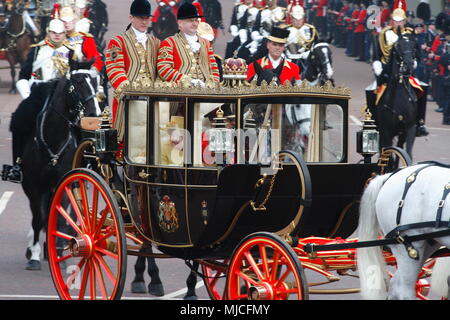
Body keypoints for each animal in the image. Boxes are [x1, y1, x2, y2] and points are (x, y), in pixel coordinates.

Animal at [13, 55, 100, 270]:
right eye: (78, 82)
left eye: (95, 82)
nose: (95, 114)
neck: (54, 138)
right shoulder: (33, 186)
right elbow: (38, 218)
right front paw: (35, 254)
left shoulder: (65, 182)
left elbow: (60, 217)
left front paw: (60, 251)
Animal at [374, 30, 416, 158]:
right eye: (398, 45)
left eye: (413, 46)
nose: (408, 65)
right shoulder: (387, 131)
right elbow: (389, 154)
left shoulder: (409, 129)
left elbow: (407, 153)